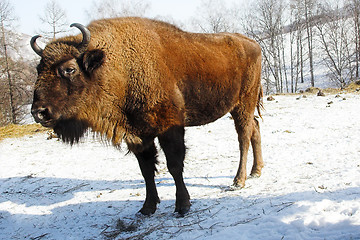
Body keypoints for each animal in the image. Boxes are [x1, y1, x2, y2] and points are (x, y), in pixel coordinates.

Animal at [31, 16, 264, 216]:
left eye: (69, 69)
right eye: (38, 69)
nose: (39, 112)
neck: (119, 66)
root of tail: (252, 43)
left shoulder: (169, 128)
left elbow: (174, 165)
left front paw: (182, 205)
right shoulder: (138, 135)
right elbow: (146, 170)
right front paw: (147, 207)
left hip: (243, 103)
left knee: (243, 137)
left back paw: (238, 181)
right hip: (241, 107)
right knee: (255, 128)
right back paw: (256, 171)